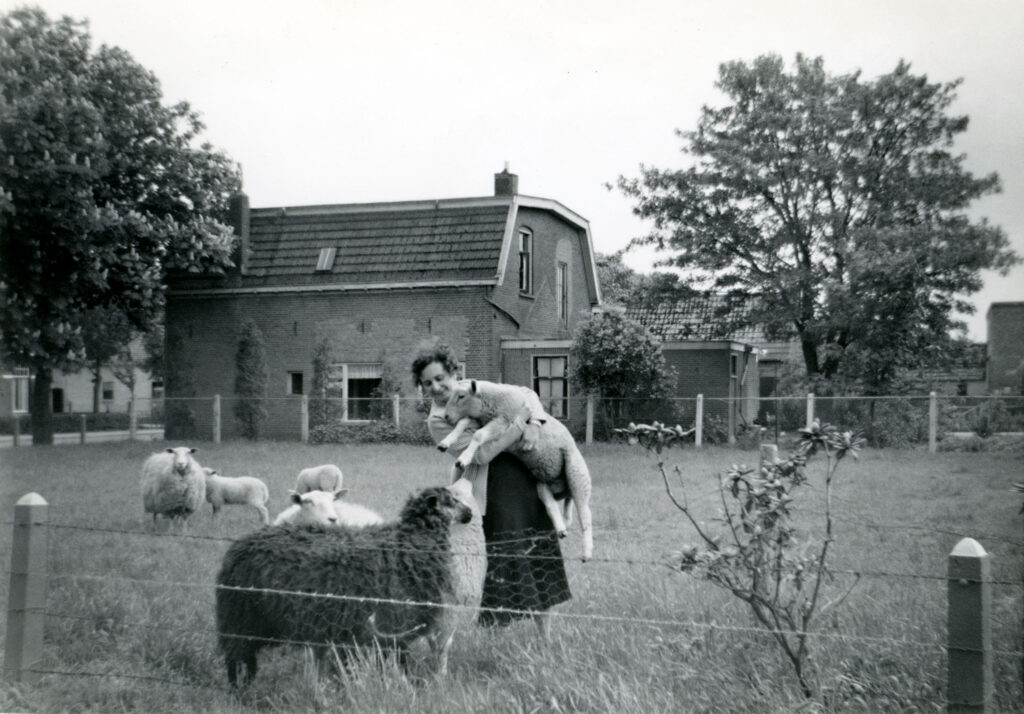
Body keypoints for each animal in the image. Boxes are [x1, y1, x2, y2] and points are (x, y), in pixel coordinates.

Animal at [215, 485, 483, 684]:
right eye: (452, 500)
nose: (470, 512)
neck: (410, 541)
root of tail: (238, 547)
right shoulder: (393, 623)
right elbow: (398, 661)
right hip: (241, 617)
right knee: (237, 656)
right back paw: (240, 690)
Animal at [438, 379, 598, 561]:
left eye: (461, 396)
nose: (446, 417)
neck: (490, 403)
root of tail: (564, 490)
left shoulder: (502, 421)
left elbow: (478, 435)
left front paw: (463, 459)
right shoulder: (481, 419)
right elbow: (462, 424)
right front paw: (445, 442)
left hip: (577, 474)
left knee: (585, 515)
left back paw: (587, 552)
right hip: (543, 483)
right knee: (551, 505)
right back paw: (561, 529)